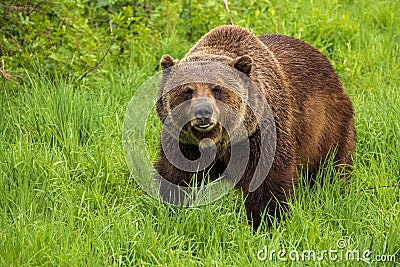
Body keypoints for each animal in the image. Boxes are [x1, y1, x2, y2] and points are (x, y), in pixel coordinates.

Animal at [155, 25, 354, 230]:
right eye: (187, 90)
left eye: (217, 89)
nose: (203, 112)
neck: (220, 140)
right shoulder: (183, 141)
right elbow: (176, 174)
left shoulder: (262, 134)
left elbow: (267, 180)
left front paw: (267, 220)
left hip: (327, 125)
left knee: (332, 165)